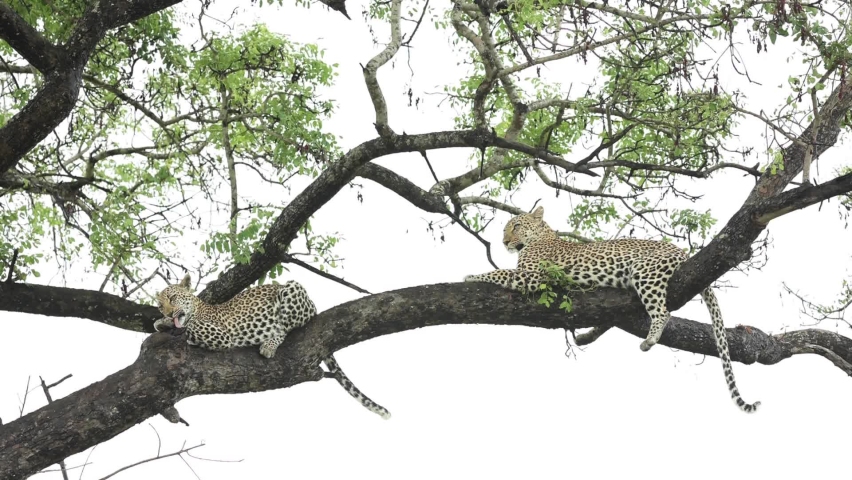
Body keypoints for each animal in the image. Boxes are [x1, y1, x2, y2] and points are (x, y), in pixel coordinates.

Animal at [154, 274, 390, 419]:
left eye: (172, 298)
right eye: (160, 305)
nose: (167, 313)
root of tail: (313, 305)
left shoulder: (222, 335)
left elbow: (190, 327)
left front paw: (172, 327)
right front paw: (162, 322)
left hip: (292, 288)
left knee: (285, 327)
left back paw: (269, 343)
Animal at [463, 206, 760, 413]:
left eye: (516, 226)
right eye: (504, 230)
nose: (504, 242)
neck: (540, 237)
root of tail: (683, 252)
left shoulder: (533, 276)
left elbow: (498, 272)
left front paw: (469, 276)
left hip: (645, 272)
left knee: (663, 312)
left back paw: (649, 339)